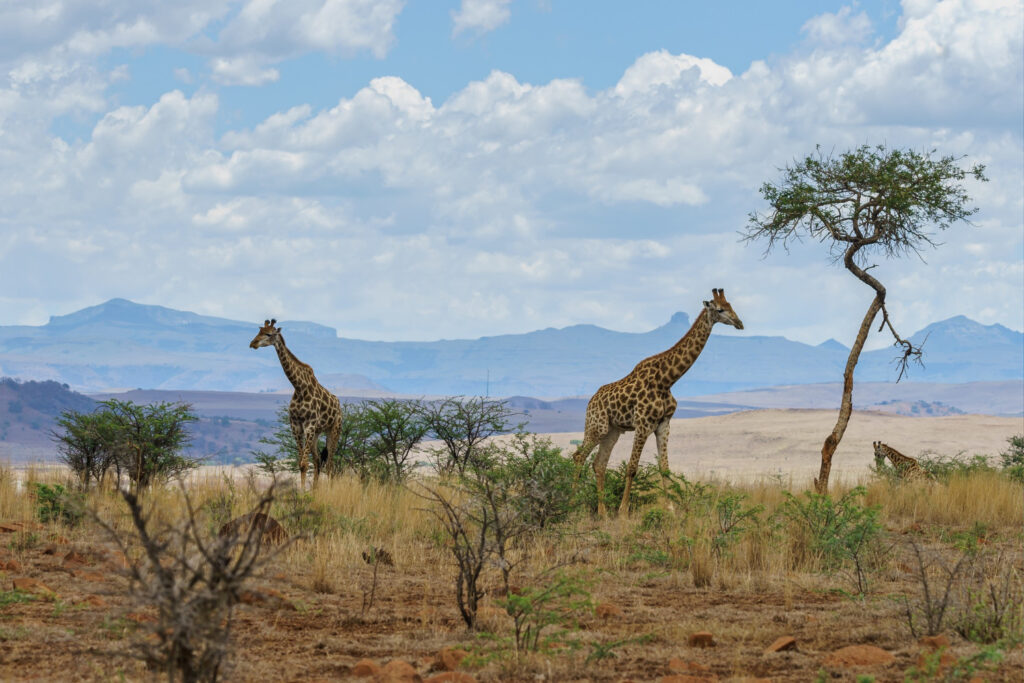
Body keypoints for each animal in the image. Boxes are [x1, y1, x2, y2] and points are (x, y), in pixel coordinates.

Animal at [250, 319, 341, 489]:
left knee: (331, 463)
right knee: (318, 461)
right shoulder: (296, 426)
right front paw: (304, 490)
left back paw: (330, 490)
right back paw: (315, 490)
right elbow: (301, 463)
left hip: (334, 429)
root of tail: (339, 406)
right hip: (317, 433)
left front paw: (303, 491)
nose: (253, 343)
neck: (299, 387)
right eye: (259, 331)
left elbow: (304, 464)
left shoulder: (309, 425)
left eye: (269, 334)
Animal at [570, 289, 744, 517]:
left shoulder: (664, 424)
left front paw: (670, 509)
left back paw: (603, 512)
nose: (739, 323)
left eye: (731, 305)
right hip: (596, 426)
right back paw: (571, 504)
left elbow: (665, 468)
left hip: (612, 431)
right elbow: (632, 468)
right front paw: (623, 512)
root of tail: (591, 401)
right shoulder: (643, 424)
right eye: (720, 309)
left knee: (599, 464)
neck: (667, 380)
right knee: (579, 457)